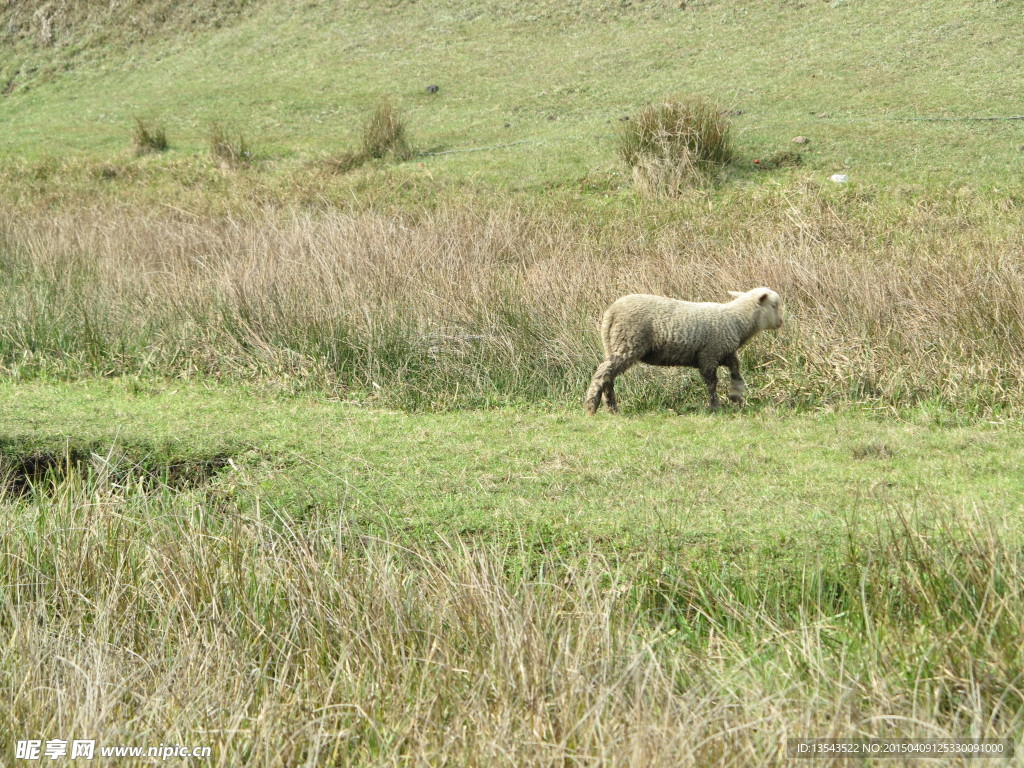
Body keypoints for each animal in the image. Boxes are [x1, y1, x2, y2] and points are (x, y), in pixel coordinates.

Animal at [585, 290, 782, 415]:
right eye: (774, 305)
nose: (781, 322)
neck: (737, 320)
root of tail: (611, 312)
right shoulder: (709, 354)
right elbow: (712, 383)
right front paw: (715, 406)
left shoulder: (724, 353)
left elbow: (736, 370)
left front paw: (736, 394)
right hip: (628, 342)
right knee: (604, 372)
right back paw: (592, 406)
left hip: (612, 344)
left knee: (608, 375)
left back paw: (611, 407)